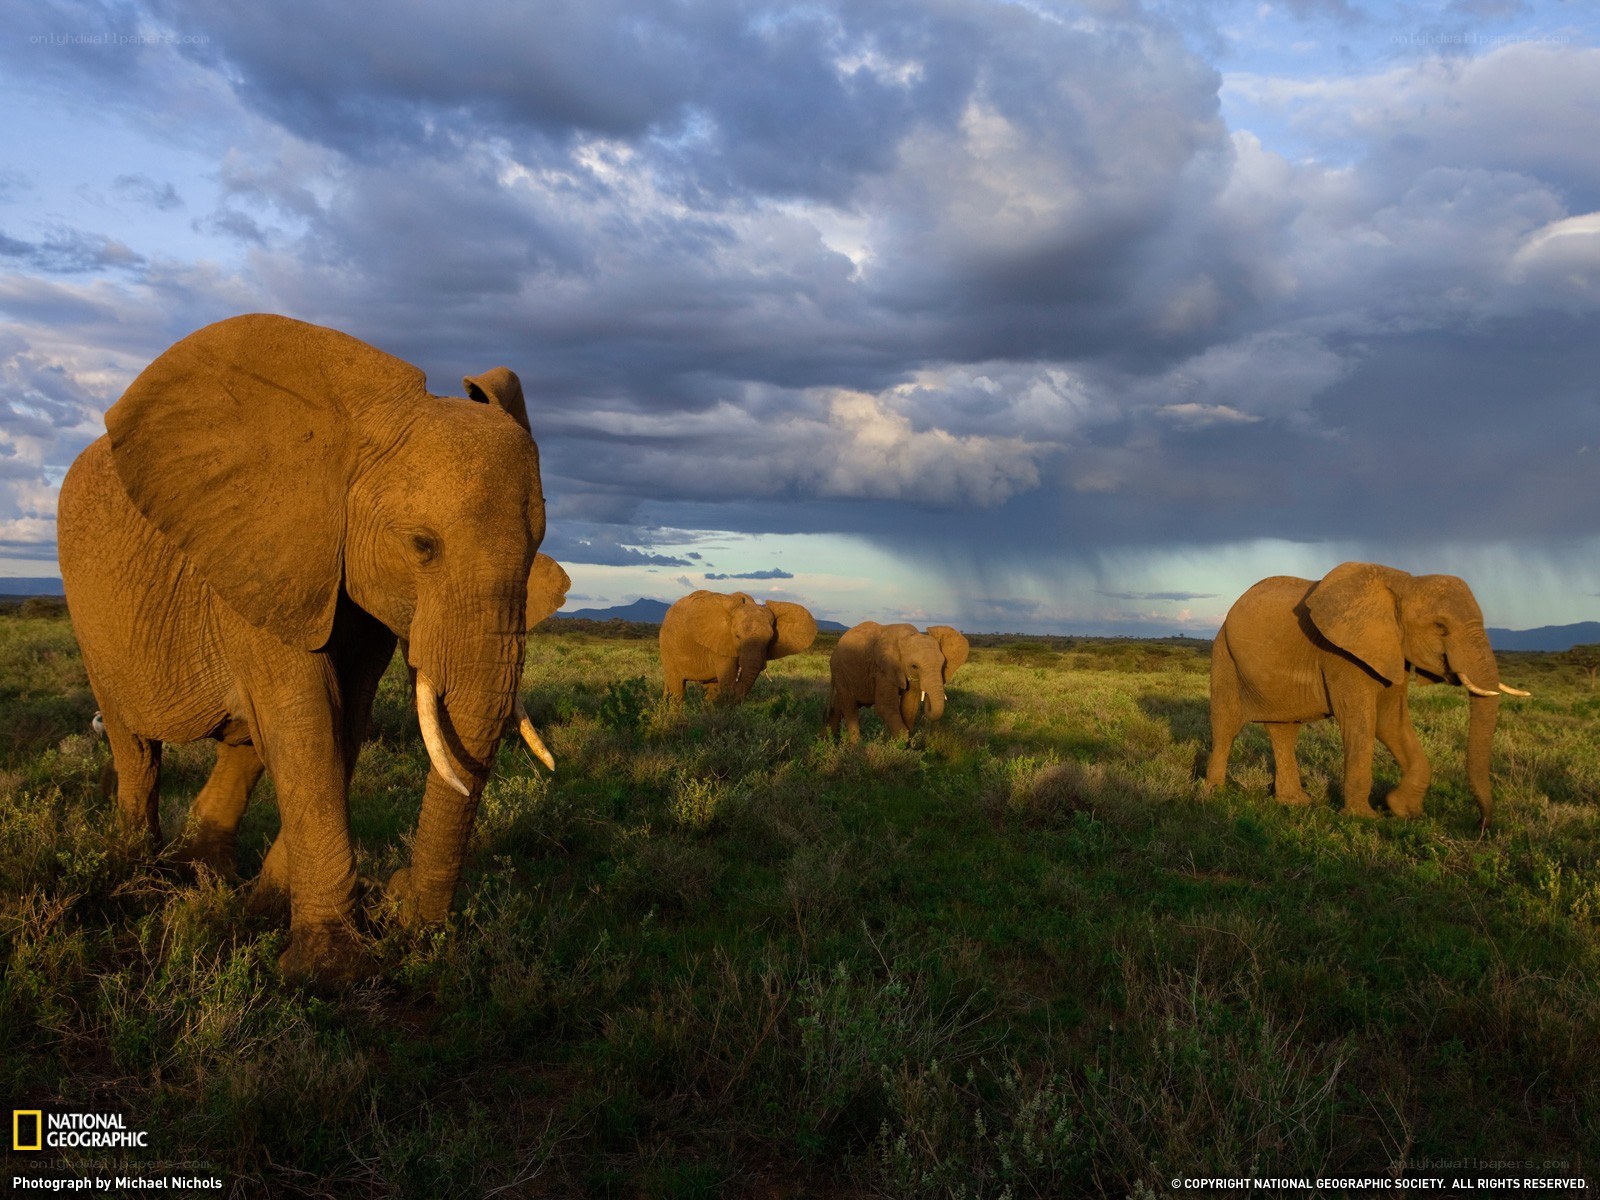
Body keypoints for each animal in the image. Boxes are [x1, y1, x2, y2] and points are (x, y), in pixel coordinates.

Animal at [57, 313, 552, 983]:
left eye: (537, 549)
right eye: (422, 545)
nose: (400, 901)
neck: (350, 442)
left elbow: (343, 721)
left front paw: (275, 920)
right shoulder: (263, 553)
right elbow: (308, 718)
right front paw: (327, 971)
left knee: (243, 745)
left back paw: (210, 882)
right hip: (91, 619)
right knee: (136, 747)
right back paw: (138, 876)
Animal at [658, 590, 817, 703]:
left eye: (770, 640)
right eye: (737, 636)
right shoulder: (721, 643)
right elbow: (727, 683)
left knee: (710, 691)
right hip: (667, 647)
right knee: (677, 690)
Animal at [826, 621, 969, 739]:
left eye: (943, 665)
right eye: (914, 666)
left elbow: (910, 705)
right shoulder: (883, 669)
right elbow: (885, 706)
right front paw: (899, 744)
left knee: (839, 706)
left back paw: (830, 741)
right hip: (839, 670)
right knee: (850, 707)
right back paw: (856, 747)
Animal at [1203, 562, 1530, 831]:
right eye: (1440, 627)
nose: (1481, 826)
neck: (1405, 583)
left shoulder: (1393, 651)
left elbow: (1390, 722)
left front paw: (1402, 810)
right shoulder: (1341, 654)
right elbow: (1360, 722)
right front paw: (1365, 818)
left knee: (1284, 731)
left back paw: (1295, 802)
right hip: (1224, 656)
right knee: (1227, 725)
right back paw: (1214, 795)